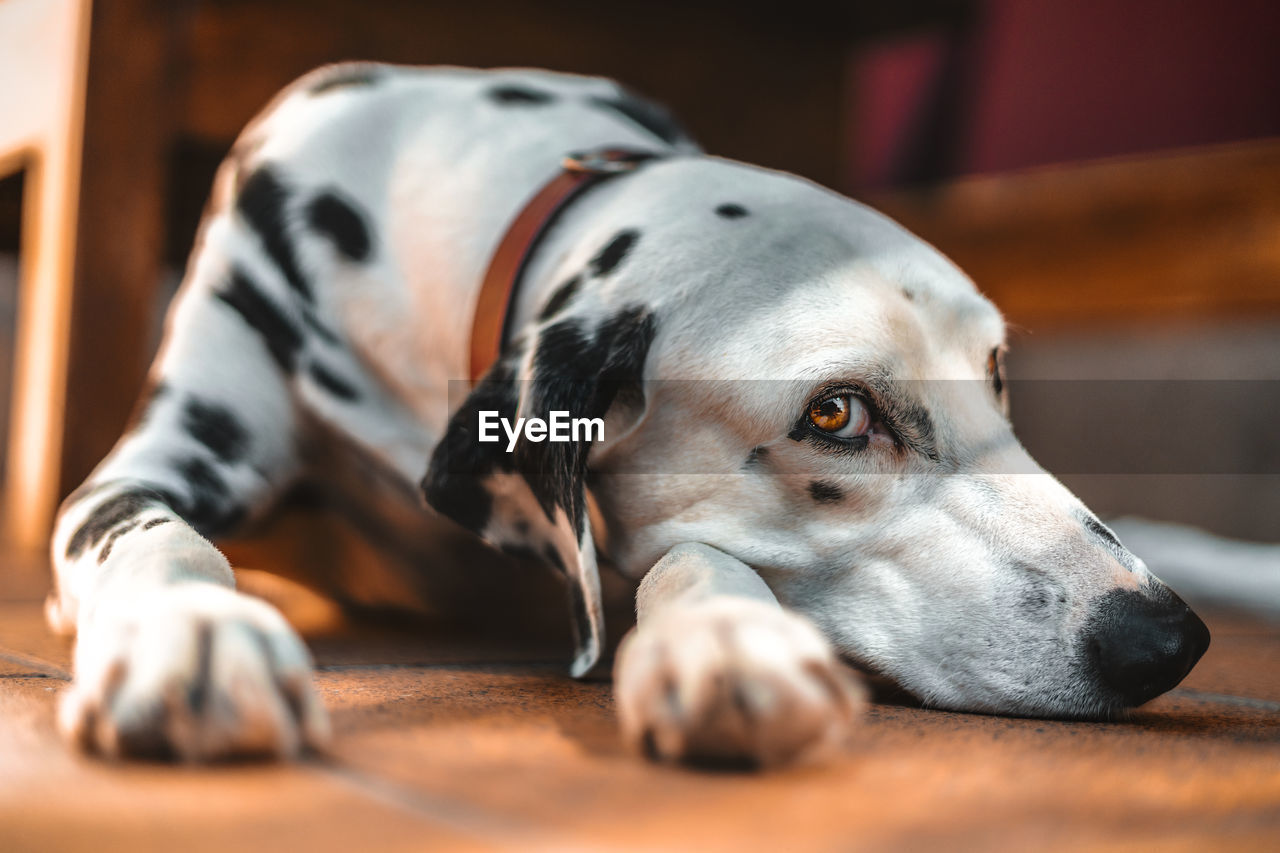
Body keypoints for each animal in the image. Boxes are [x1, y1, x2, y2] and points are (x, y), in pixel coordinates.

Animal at [47, 61, 1208, 763]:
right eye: (836, 415)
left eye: (996, 371)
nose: (1166, 638)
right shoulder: (152, 462)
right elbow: (153, 534)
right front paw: (191, 633)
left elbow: (688, 555)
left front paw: (728, 637)